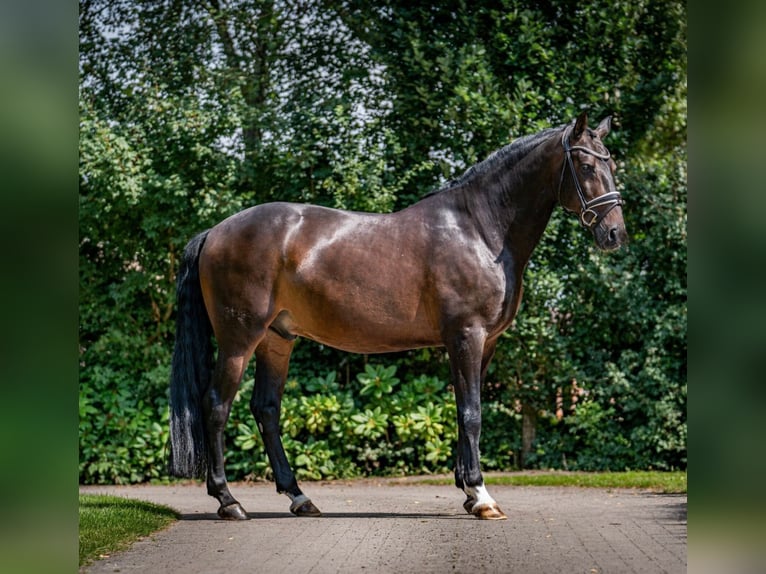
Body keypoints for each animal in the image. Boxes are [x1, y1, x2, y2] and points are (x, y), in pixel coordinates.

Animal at [170, 111, 632, 520]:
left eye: (610, 163)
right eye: (586, 165)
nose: (615, 234)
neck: (481, 230)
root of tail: (214, 232)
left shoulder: (483, 343)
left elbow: (463, 410)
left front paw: (467, 491)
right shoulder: (467, 335)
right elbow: (472, 413)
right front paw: (482, 496)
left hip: (276, 340)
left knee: (266, 410)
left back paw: (299, 498)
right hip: (239, 339)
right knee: (216, 405)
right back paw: (229, 501)